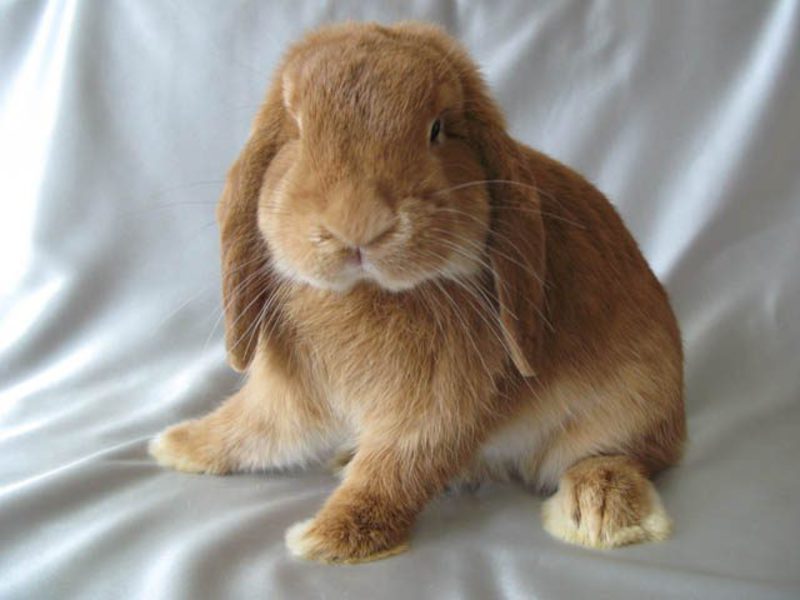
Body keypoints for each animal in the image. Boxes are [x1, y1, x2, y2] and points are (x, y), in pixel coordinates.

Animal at [150, 21, 686, 563]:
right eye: (296, 130)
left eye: (438, 129)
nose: (357, 225)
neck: (370, 294)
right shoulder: (292, 396)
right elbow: (248, 429)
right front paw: (176, 445)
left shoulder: (437, 408)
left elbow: (395, 470)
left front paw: (329, 539)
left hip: (630, 402)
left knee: (626, 455)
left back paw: (598, 510)